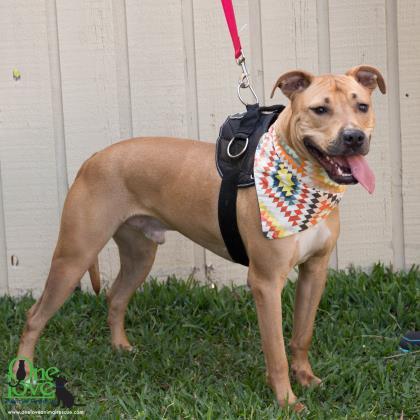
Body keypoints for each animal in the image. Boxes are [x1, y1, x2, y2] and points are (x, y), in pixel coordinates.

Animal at [15, 65, 384, 410]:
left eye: (362, 106)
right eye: (320, 109)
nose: (353, 137)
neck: (305, 180)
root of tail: (93, 158)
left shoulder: (315, 271)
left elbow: (302, 335)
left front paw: (306, 378)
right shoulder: (266, 282)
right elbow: (276, 350)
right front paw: (286, 401)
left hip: (139, 254)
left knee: (116, 297)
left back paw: (121, 348)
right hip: (74, 256)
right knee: (35, 316)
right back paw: (25, 374)